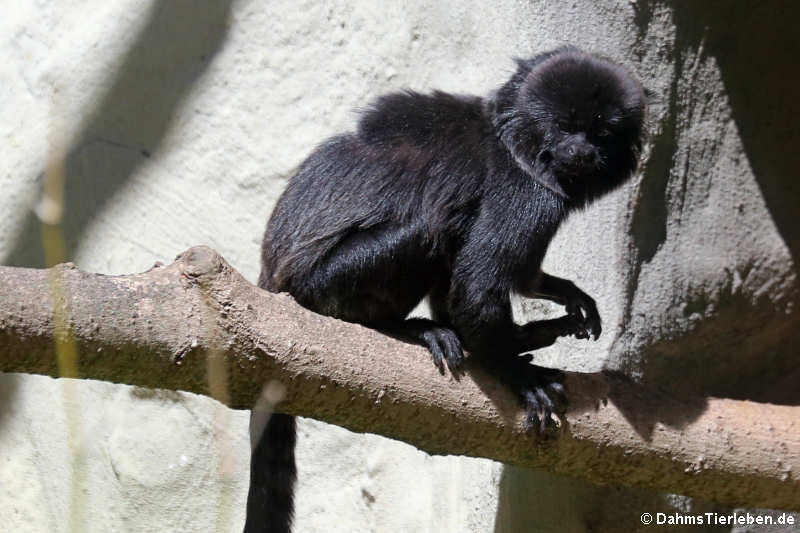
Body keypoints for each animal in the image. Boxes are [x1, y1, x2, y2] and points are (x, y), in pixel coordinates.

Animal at [244, 45, 644, 532]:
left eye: (601, 132)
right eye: (565, 126)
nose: (580, 151)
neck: (516, 141)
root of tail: (271, 280)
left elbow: (519, 277)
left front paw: (563, 294)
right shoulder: (525, 193)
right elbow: (480, 284)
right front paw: (517, 374)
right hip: (319, 286)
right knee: (431, 227)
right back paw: (412, 330)